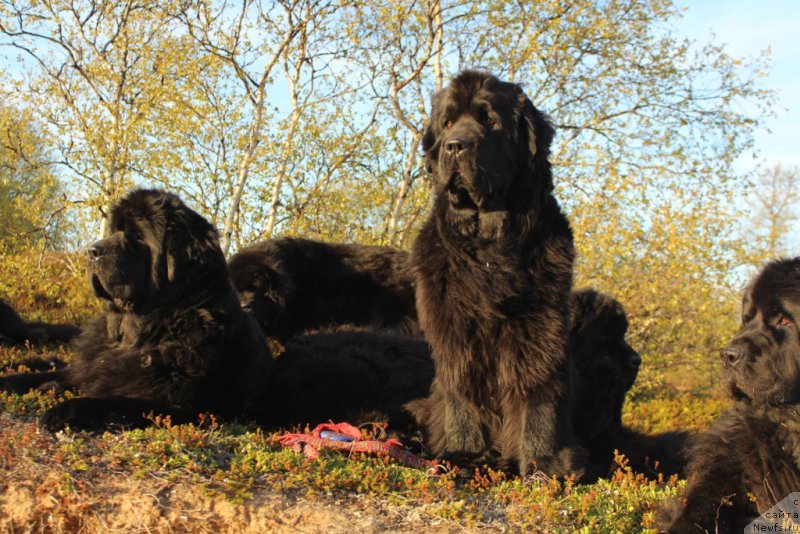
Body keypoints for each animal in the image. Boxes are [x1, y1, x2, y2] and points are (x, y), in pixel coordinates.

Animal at [0, 191, 432, 434]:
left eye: (137, 237)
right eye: (113, 231)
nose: (93, 251)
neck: (144, 331)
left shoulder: (191, 407)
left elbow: (116, 402)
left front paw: (68, 410)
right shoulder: (88, 368)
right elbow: (46, 375)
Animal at [406, 71, 580, 478]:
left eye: (490, 121)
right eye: (448, 123)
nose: (455, 146)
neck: (489, 250)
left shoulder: (538, 326)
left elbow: (537, 391)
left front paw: (543, 463)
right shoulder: (454, 329)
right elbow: (461, 390)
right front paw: (463, 454)